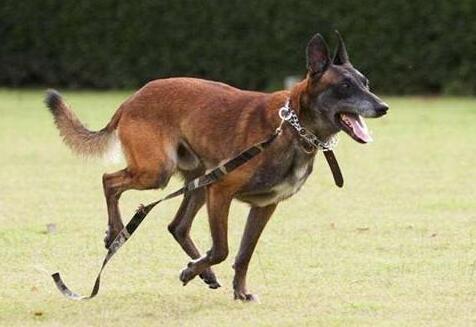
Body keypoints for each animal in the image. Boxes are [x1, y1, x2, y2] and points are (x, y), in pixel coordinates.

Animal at [43, 32, 386, 302]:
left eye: (366, 83)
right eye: (345, 86)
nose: (383, 107)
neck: (291, 126)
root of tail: (130, 100)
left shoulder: (264, 206)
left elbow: (244, 254)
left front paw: (239, 291)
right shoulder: (222, 191)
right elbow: (222, 248)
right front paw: (192, 271)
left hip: (198, 180)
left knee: (177, 226)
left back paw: (203, 272)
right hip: (158, 172)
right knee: (109, 180)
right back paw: (116, 232)